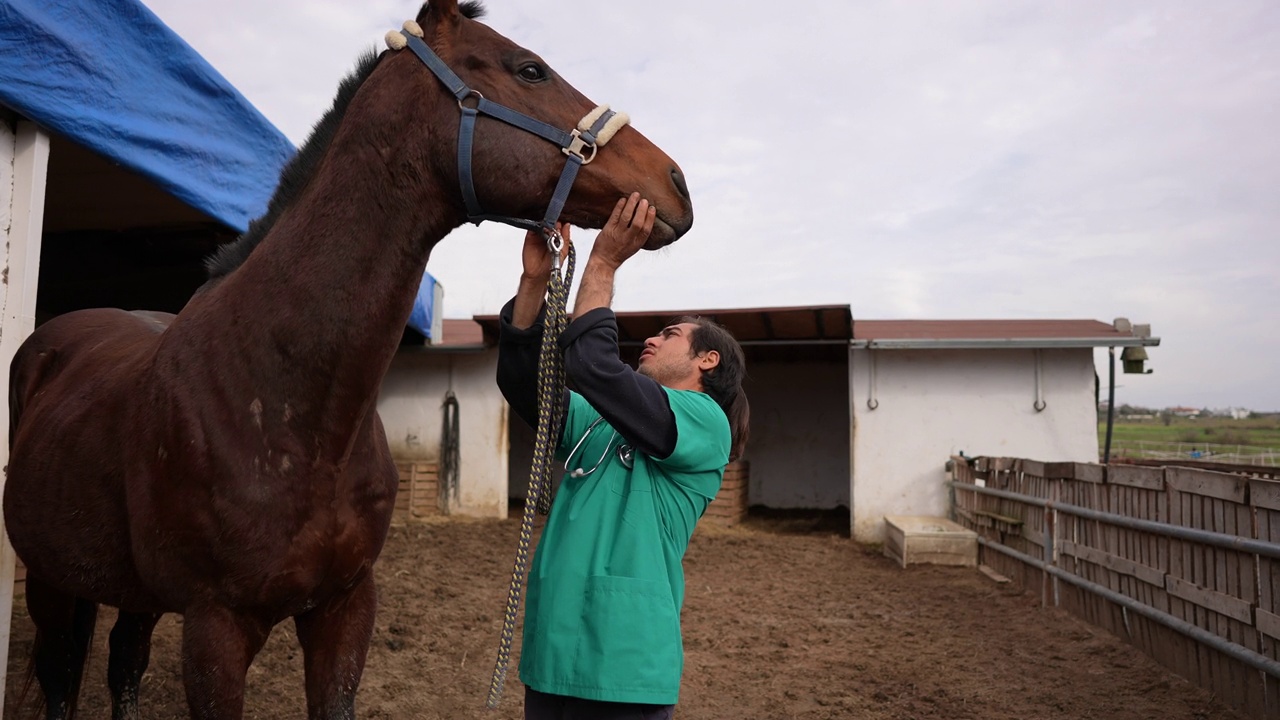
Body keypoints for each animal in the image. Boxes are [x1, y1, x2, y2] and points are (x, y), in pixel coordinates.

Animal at [5, 2, 696, 712]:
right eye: (530, 70)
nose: (675, 182)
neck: (285, 402)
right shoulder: (214, 627)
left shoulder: (345, 608)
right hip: (50, 580)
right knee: (61, 675)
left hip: (134, 593)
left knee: (124, 663)